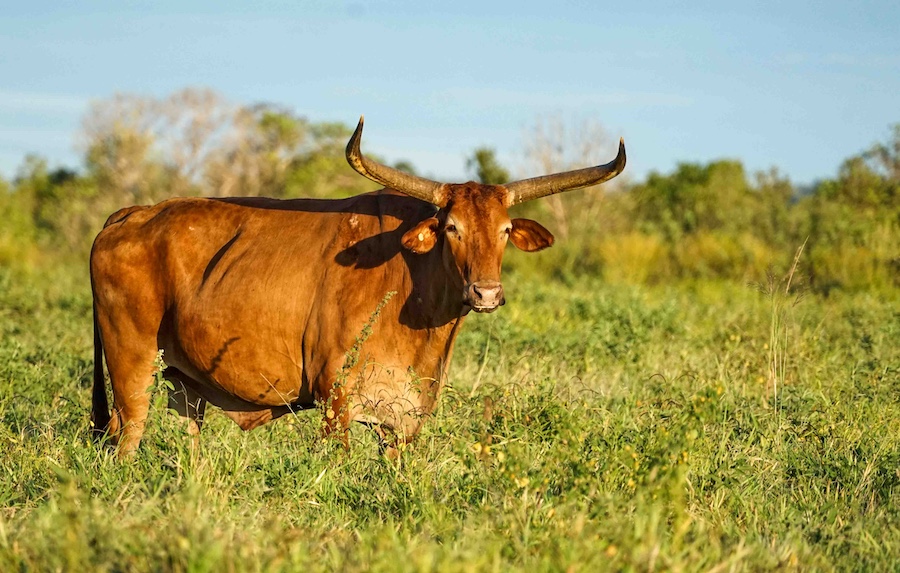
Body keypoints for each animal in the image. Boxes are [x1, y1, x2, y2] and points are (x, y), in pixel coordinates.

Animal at [90, 116, 625, 456]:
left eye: (506, 230)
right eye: (452, 228)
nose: (486, 294)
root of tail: (133, 214)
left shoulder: (405, 421)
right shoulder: (335, 401)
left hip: (185, 384)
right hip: (132, 367)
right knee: (126, 438)